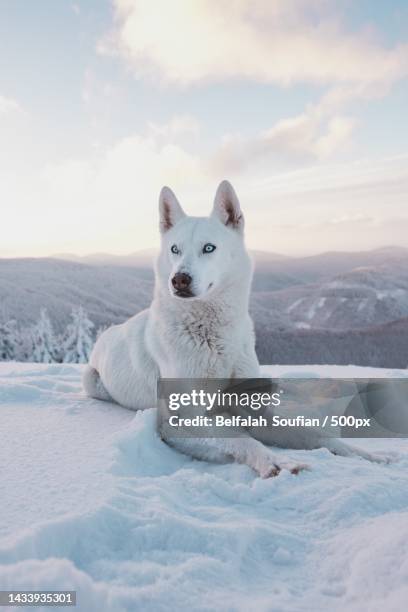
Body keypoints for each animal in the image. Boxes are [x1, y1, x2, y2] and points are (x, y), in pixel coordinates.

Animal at [83, 179, 388, 476]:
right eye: (174, 249)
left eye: (209, 248)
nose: (179, 279)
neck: (213, 336)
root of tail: (108, 333)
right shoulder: (180, 421)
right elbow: (240, 439)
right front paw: (277, 462)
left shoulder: (254, 410)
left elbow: (314, 435)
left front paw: (368, 455)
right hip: (92, 382)